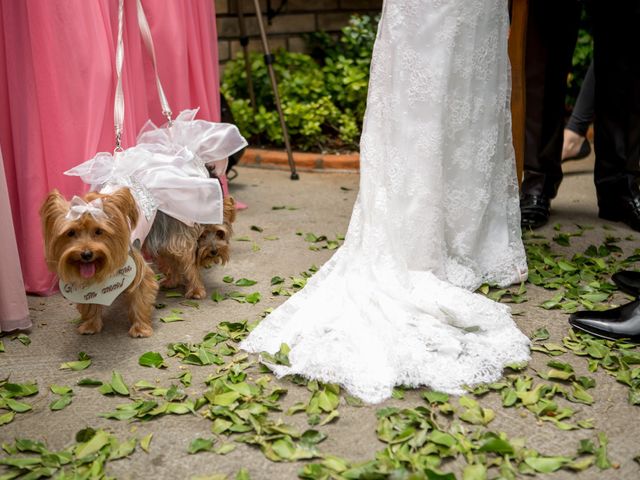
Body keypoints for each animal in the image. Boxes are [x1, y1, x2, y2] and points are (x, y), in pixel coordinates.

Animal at [41, 188, 159, 338]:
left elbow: (140, 298)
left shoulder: (137, 269)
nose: (86, 254)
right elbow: (90, 302)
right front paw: (91, 325)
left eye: (99, 231)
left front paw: (140, 328)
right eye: (71, 232)